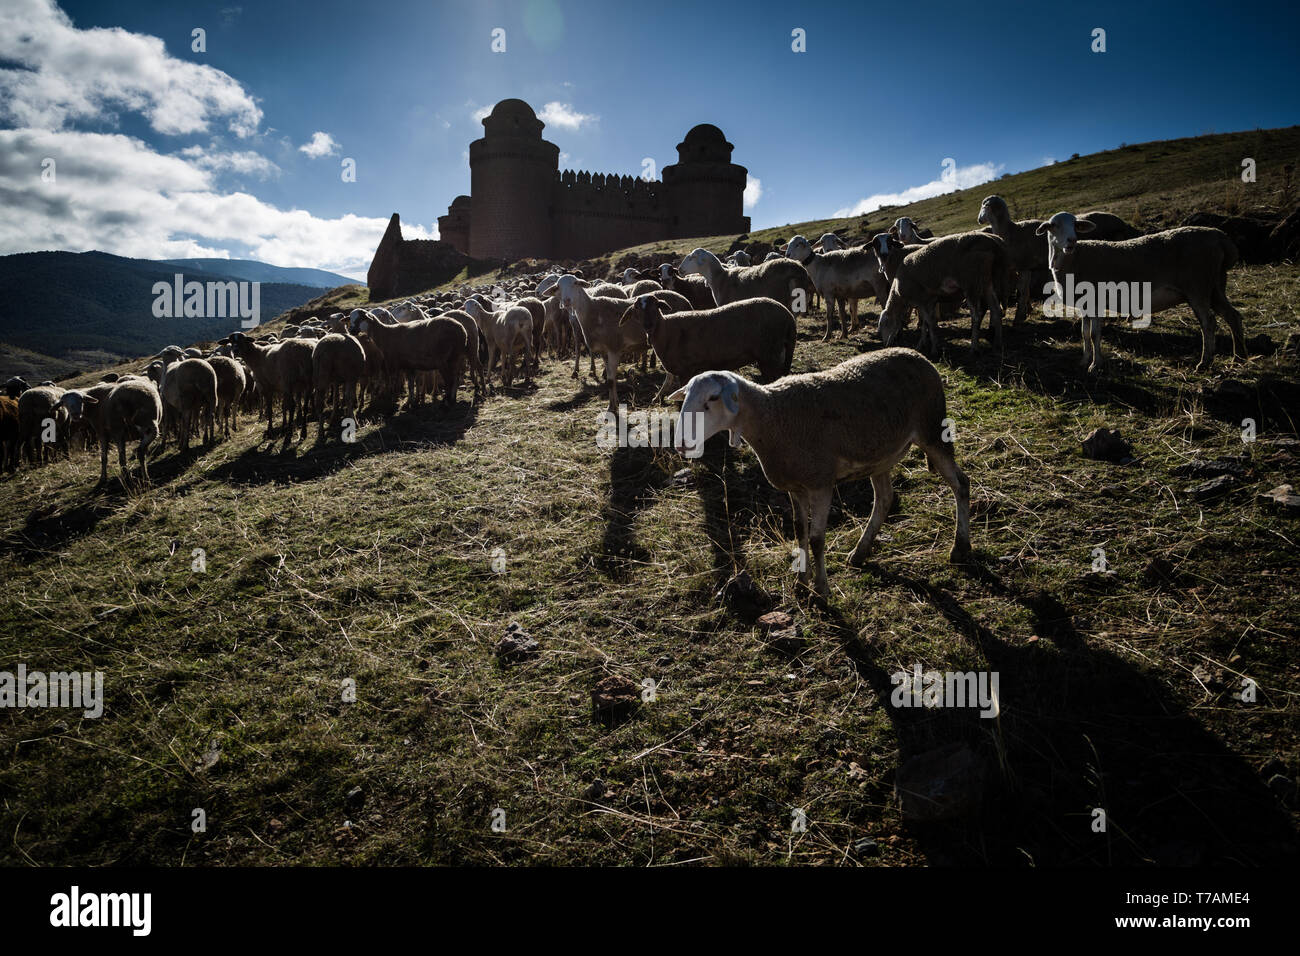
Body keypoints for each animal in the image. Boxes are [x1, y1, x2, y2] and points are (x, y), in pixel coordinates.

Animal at [618, 295, 790, 400]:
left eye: (656, 306)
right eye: (637, 309)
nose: (648, 325)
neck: (666, 330)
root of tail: (787, 315)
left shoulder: (686, 371)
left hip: (770, 356)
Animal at [670, 343, 967, 598]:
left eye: (713, 398)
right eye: (686, 397)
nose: (681, 444)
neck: (772, 418)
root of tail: (916, 354)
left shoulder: (821, 483)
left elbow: (816, 539)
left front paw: (821, 588)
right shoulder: (796, 487)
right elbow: (799, 530)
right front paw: (801, 582)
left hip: (933, 431)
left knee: (961, 484)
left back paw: (960, 547)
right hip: (879, 455)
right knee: (884, 499)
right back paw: (860, 553)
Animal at [878, 231, 1008, 356]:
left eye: (885, 324)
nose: (886, 345)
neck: (898, 292)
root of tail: (994, 241)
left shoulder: (921, 300)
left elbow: (930, 323)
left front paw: (934, 349)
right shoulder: (929, 301)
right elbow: (925, 323)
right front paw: (921, 344)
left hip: (971, 282)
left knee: (976, 315)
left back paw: (974, 348)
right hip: (988, 282)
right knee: (996, 310)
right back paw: (998, 345)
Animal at [1034, 214, 1248, 374]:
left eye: (1075, 225)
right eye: (1054, 226)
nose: (1072, 240)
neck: (1075, 259)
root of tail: (1221, 238)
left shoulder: (1096, 301)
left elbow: (1094, 334)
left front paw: (1095, 365)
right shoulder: (1084, 305)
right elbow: (1084, 333)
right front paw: (1084, 360)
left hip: (1198, 286)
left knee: (1209, 323)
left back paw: (1205, 362)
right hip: (1215, 285)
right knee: (1233, 316)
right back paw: (1239, 358)